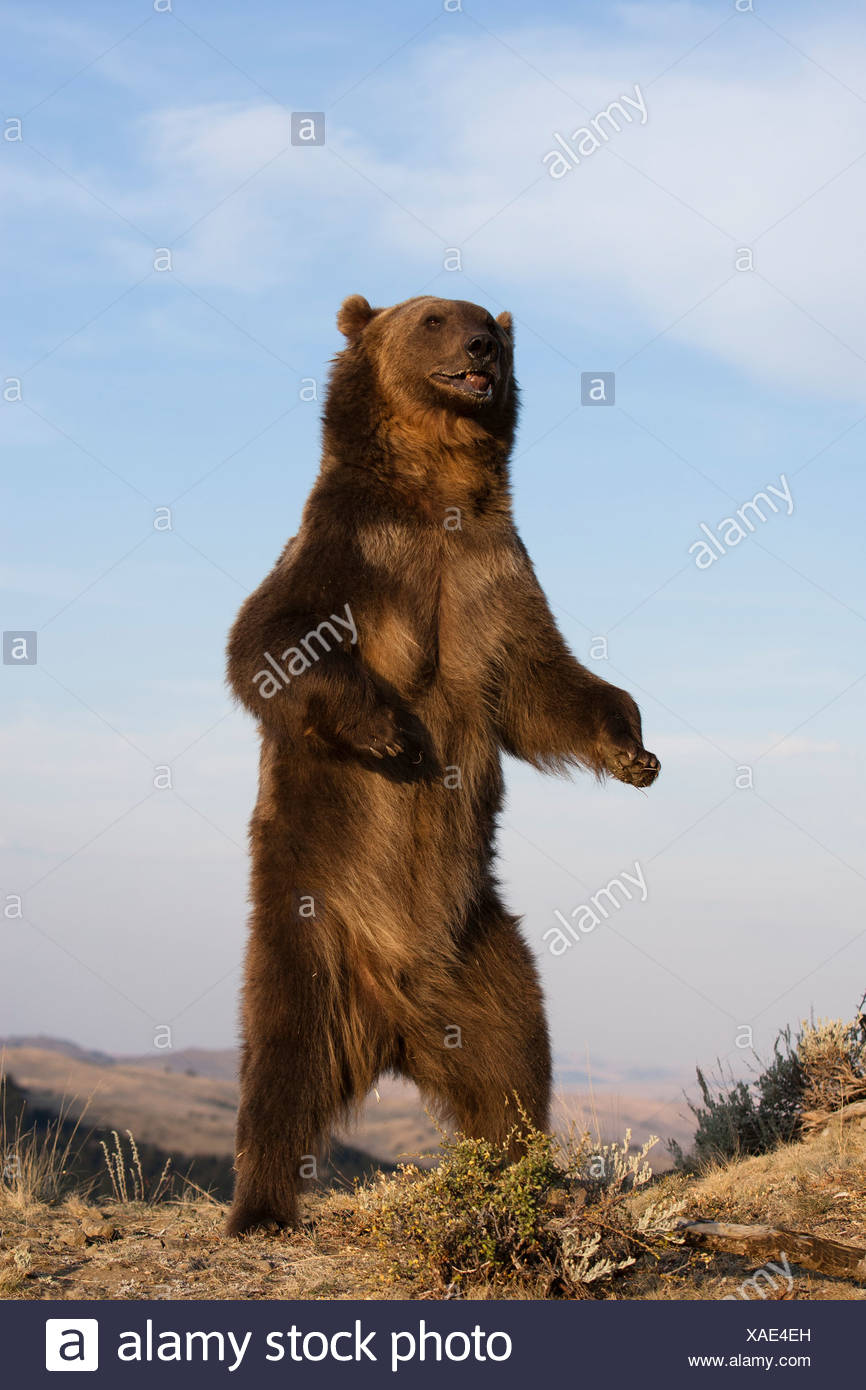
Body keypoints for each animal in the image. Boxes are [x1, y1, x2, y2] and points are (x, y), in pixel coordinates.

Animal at [225, 293, 659, 1236]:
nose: (482, 344)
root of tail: (394, 1021)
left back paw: (524, 1174)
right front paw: (388, 732)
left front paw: (634, 749)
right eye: (431, 317)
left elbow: (542, 684)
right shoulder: (354, 551)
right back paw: (262, 1205)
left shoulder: (493, 577)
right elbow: (270, 639)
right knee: (280, 1061)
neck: (436, 491)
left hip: (485, 954)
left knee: (514, 1065)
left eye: (485, 317)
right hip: (308, 930)